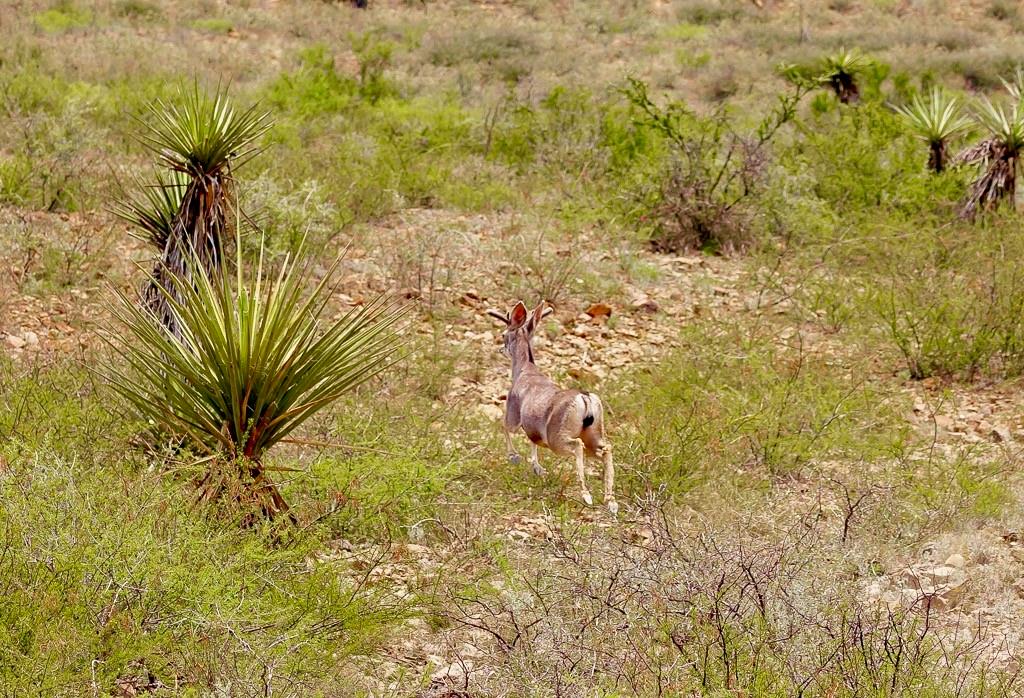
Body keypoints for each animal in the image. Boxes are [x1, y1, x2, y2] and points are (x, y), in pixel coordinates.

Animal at [485, 298, 614, 511]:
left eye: (504, 334)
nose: (500, 348)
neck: (523, 370)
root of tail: (585, 400)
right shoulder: (531, 426)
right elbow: (532, 441)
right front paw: (537, 468)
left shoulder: (514, 411)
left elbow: (503, 426)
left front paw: (514, 457)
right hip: (594, 433)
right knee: (606, 449)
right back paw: (611, 501)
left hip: (558, 436)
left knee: (577, 446)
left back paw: (586, 495)